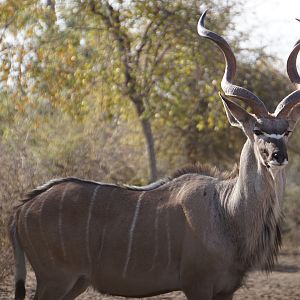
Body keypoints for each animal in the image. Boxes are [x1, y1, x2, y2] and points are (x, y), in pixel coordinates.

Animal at [8, 9, 300, 300]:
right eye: (257, 130)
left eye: (286, 131)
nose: (278, 156)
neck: (226, 210)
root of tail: (22, 210)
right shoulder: (197, 285)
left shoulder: (226, 290)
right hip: (56, 279)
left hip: (74, 283)